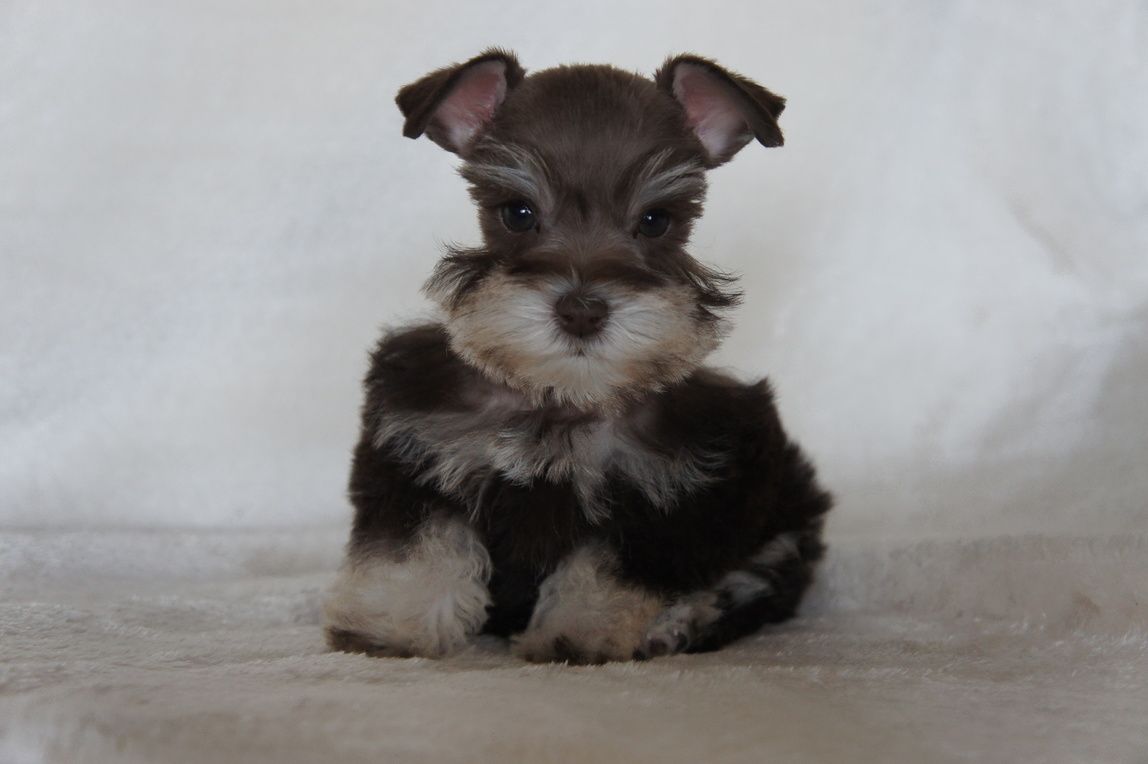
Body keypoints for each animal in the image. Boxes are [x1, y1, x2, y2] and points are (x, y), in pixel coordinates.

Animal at [323, 50, 835, 665]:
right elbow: (411, 550)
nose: (582, 311)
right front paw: (388, 627)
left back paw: (680, 624)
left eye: (656, 220)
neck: (557, 394)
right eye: (517, 213)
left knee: (756, 582)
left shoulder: (663, 497)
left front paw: (578, 636)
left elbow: (607, 572)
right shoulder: (413, 454)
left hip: (782, 515)